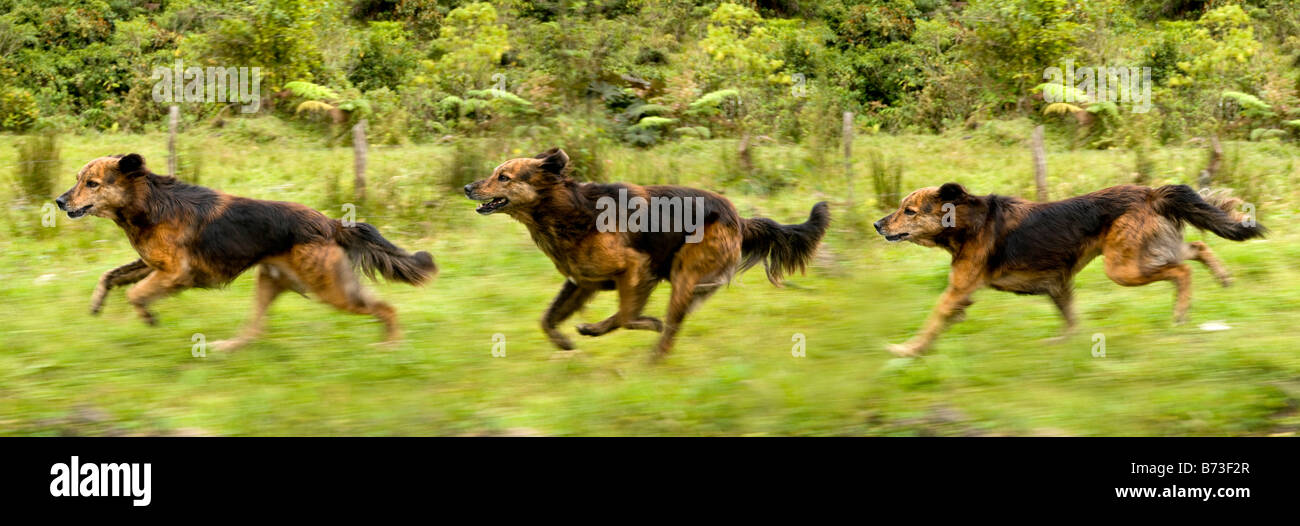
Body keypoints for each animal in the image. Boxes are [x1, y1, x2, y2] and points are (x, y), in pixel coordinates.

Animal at [57, 151, 436, 348]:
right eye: (77, 180)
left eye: (92, 184)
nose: (59, 202)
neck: (149, 203)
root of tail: (331, 224)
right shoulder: (152, 265)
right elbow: (110, 276)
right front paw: (97, 304)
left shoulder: (175, 272)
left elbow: (134, 293)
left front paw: (148, 317)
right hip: (272, 281)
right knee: (254, 329)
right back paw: (223, 349)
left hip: (332, 289)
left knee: (386, 308)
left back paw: (391, 346)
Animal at [467, 147, 832, 361]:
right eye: (495, 173)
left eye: (503, 177)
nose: (467, 187)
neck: (567, 211)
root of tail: (739, 219)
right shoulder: (583, 281)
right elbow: (548, 318)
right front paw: (564, 343)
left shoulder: (636, 267)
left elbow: (629, 317)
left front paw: (646, 325)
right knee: (647, 319)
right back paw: (598, 330)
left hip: (684, 272)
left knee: (668, 326)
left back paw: (654, 356)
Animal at [878, 181, 1263, 355]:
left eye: (909, 211)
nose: (877, 225)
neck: (966, 220)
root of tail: (1152, 193)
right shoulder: (1057, 283)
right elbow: (1071, 319)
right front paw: (1063, 343)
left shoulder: (958, 289)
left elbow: (932, 320)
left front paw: (907, 351)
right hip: (1149, 252)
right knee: (1197, 248)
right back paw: (1223, 278)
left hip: (1122, 267)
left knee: (1182, 271)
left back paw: (1181, 312)